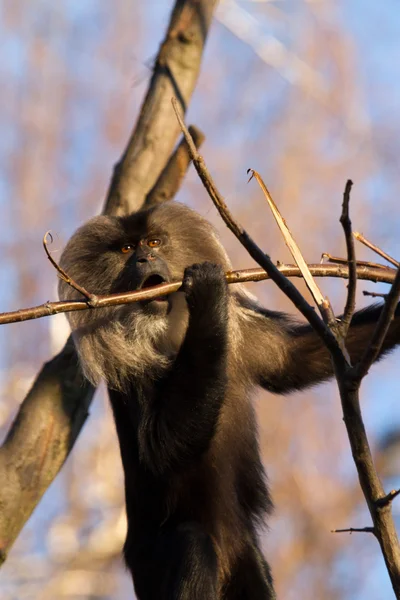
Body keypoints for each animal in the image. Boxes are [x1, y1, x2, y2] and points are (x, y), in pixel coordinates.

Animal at [58, 203, 400, 600]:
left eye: (153, 242)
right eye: (127, 250)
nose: (145, 258)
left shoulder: (243, 330)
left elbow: (292, 360)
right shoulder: (129, 367)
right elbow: (162, 448)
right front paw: (207, 294)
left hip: (246, 559)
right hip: (151, 570)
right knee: (192, 543)